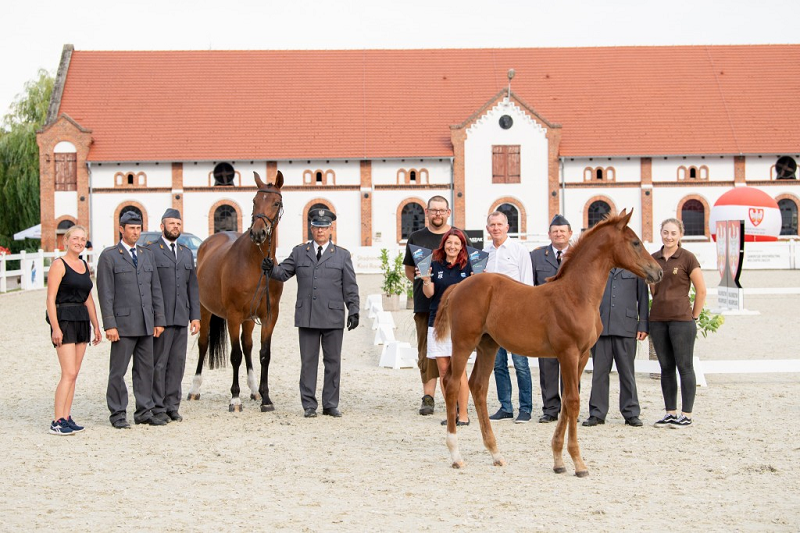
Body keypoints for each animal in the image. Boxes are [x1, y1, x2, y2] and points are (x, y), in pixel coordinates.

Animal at [186, 170, 286, 412]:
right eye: (254, 200)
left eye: (276, 202)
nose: (258, 233)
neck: (255, 264)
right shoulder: (233, 316)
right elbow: (235, 355)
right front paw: (235, 398)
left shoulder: (269, 317)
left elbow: (263, 354)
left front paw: (266, 398)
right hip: (204, 310)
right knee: (204, 344)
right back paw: (194, 389)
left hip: (248, 319)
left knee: (248, 345)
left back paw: (254, 390)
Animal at [434, 208, 660, 474]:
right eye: (635, 242)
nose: (658, 272)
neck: (576, 295)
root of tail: (458, 285)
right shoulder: (568, 353)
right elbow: (573, 401)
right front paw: (578, 463)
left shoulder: (582, 355)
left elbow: (567, 402)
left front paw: (559, 461)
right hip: (463, 343)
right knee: (452, 384)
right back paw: (456, 455)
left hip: (488, 345)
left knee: (478, 386)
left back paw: (496, 453)